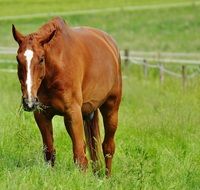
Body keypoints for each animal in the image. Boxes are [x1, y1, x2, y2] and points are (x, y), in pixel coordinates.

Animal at [12, 17, 122, 176]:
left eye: (41, 59)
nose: (29, 102)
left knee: (107, 146)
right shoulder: (42, 115)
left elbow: (79, 156)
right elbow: (50, 153)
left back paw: (107, 178)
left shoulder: (73, 113)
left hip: (111, 109)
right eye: (18, 59)